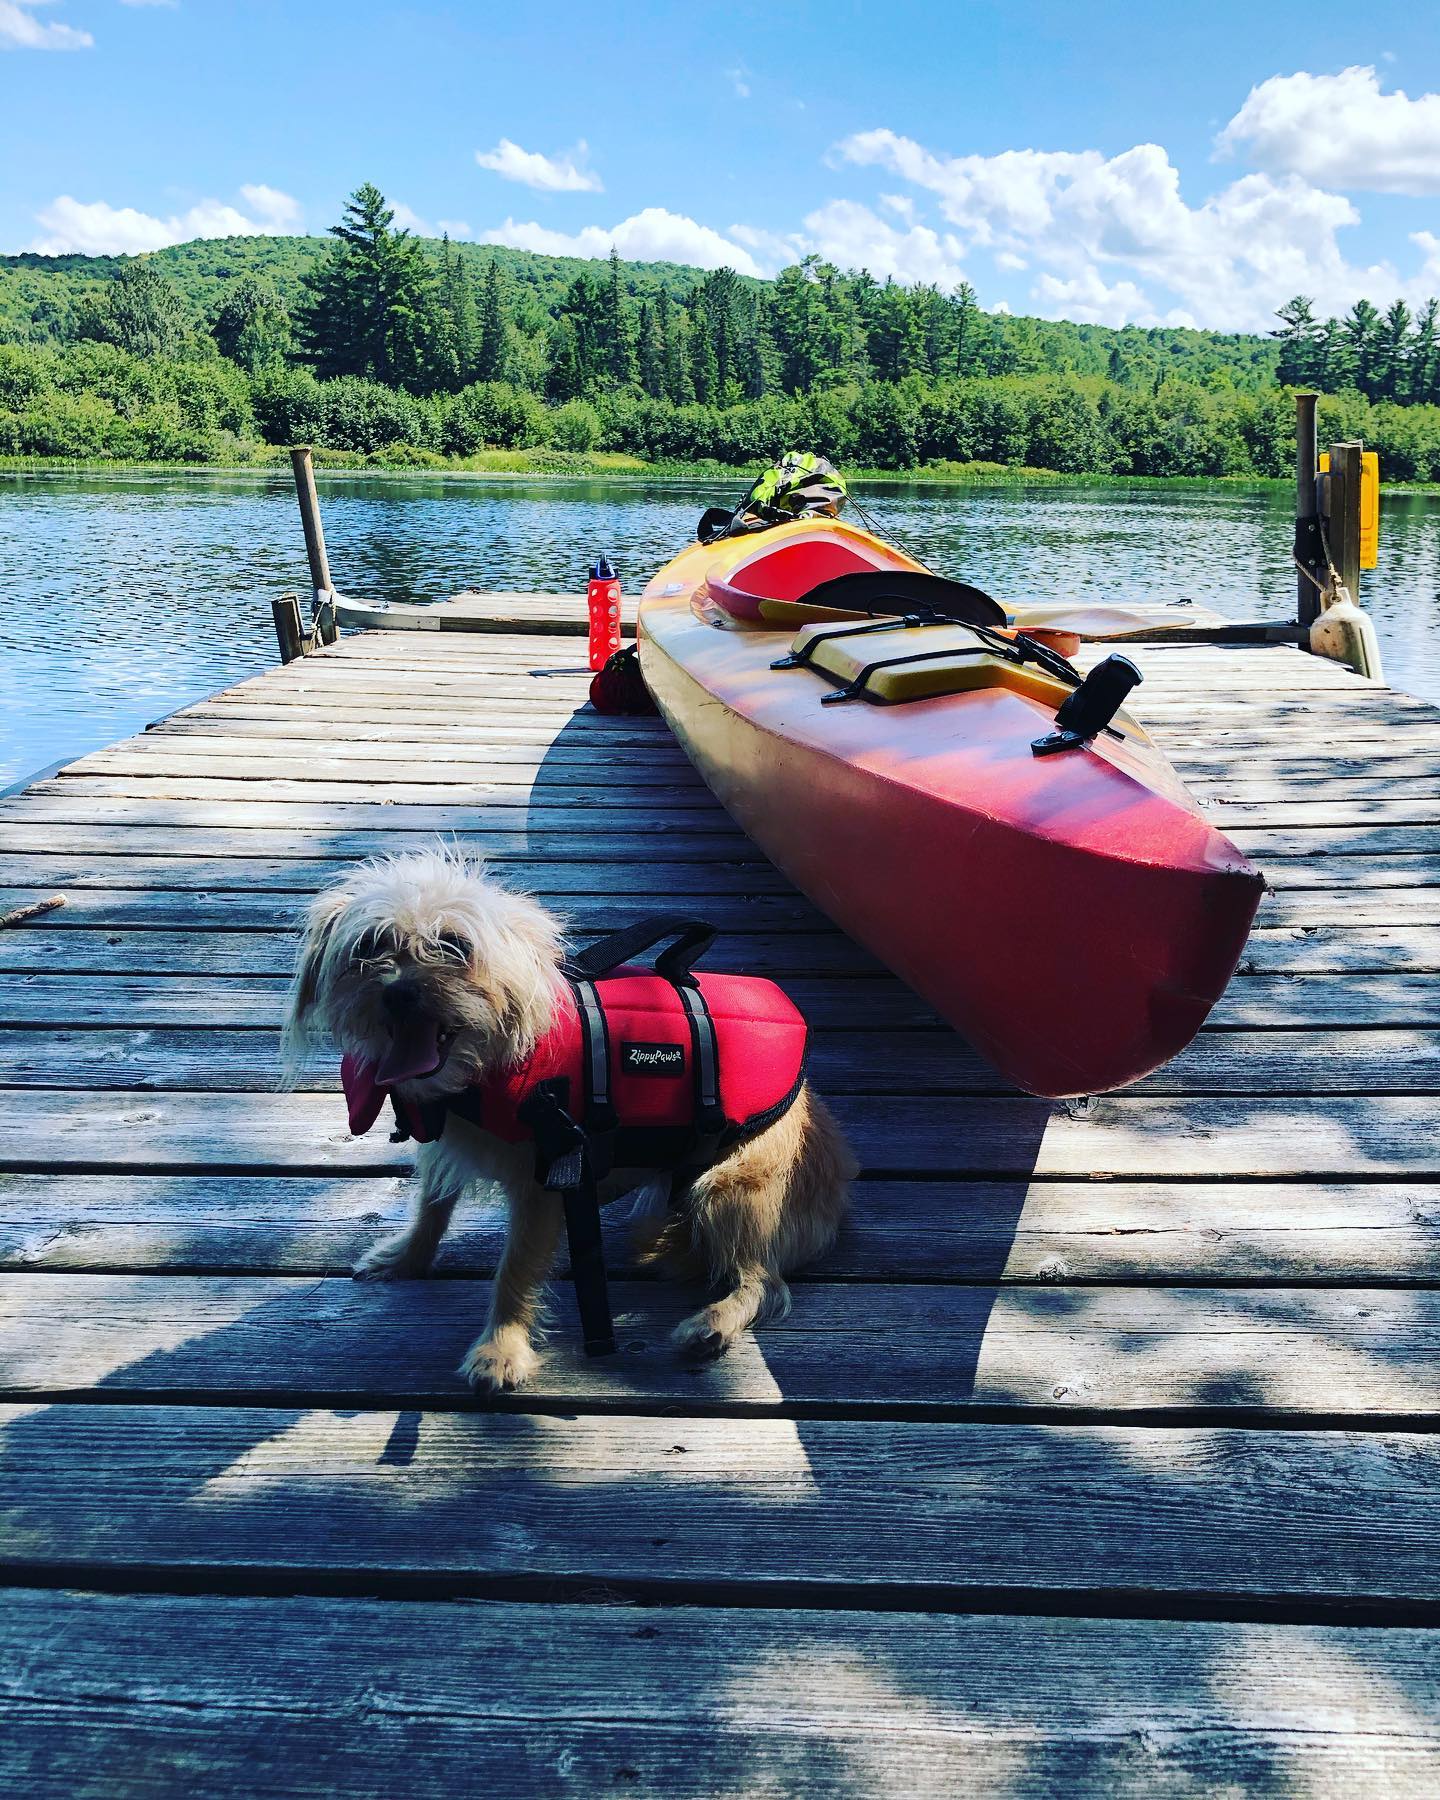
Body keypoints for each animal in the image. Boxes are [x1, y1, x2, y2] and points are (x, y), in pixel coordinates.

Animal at [286, 846, 860, 1389]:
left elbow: (514, 1269)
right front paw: (407, 1258)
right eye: (370, 946)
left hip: (730, 1188)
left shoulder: (547, 1184)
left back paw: (711, 1324)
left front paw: (500, 1351)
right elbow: (432, 1209)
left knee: (765, 1284)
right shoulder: (443, 1149)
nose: (398, 991)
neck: (476, 1074)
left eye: (455, 945)